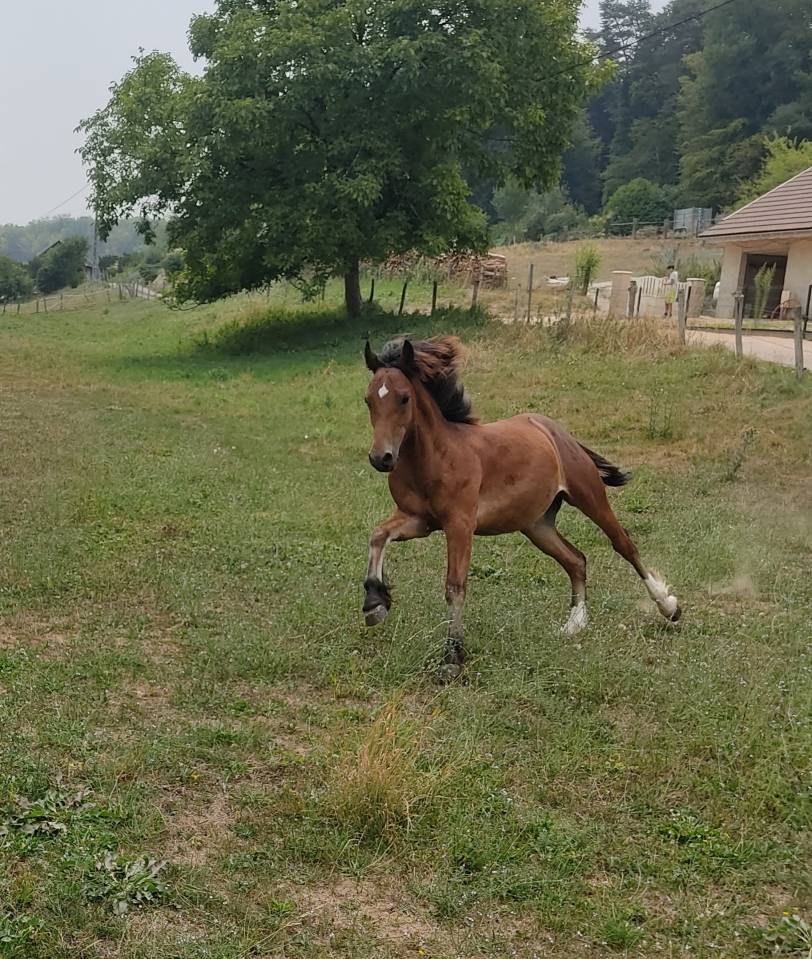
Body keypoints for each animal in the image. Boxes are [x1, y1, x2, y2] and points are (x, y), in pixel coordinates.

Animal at [362, 335, 681, 681]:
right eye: (368, 400)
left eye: (404, 398)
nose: (381, 458)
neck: (435, 457)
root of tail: (556, 431)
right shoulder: (419, 520)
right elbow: (378, 536)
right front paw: (375, 602)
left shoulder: (459, 524)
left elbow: (455, 586)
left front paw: (452, 657)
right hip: (536, 525)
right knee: (576, 560)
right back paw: (574, 624)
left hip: (589, 498)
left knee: (623, 545)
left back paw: (668, 606)